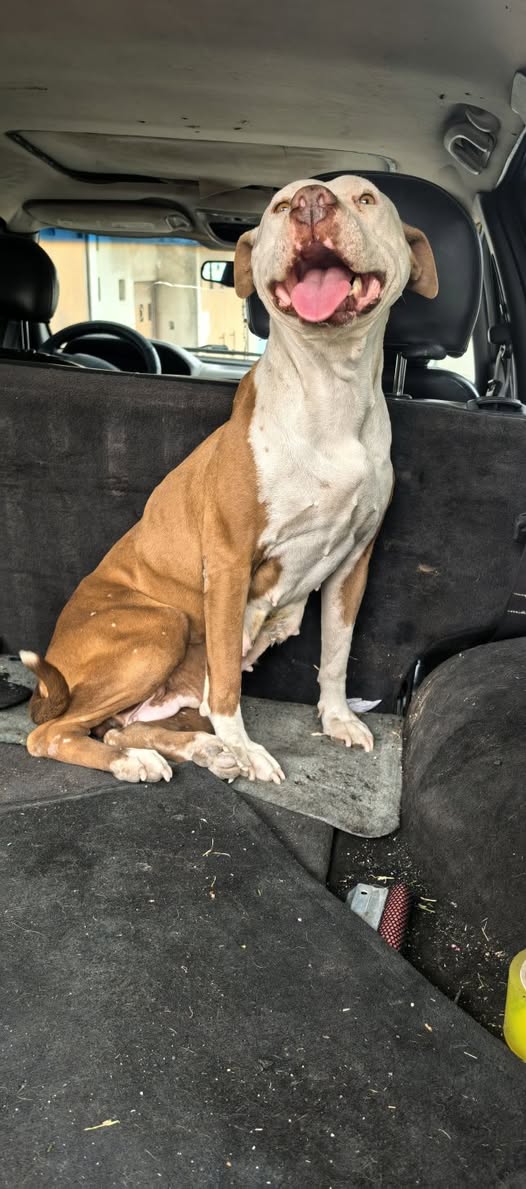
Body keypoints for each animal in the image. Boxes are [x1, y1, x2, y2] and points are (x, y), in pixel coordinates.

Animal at [21, 176, 437, 785]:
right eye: (281, 204)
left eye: (366, 198)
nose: (313, 202)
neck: (329, 390)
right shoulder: (229, 562)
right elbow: (226, 686)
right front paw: (245, 748)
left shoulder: (354, 563)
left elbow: (337, 653)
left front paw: (336, 718)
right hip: (161, 625)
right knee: (53, 733)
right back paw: (143, 761)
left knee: (123, 726)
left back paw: (195, 750)